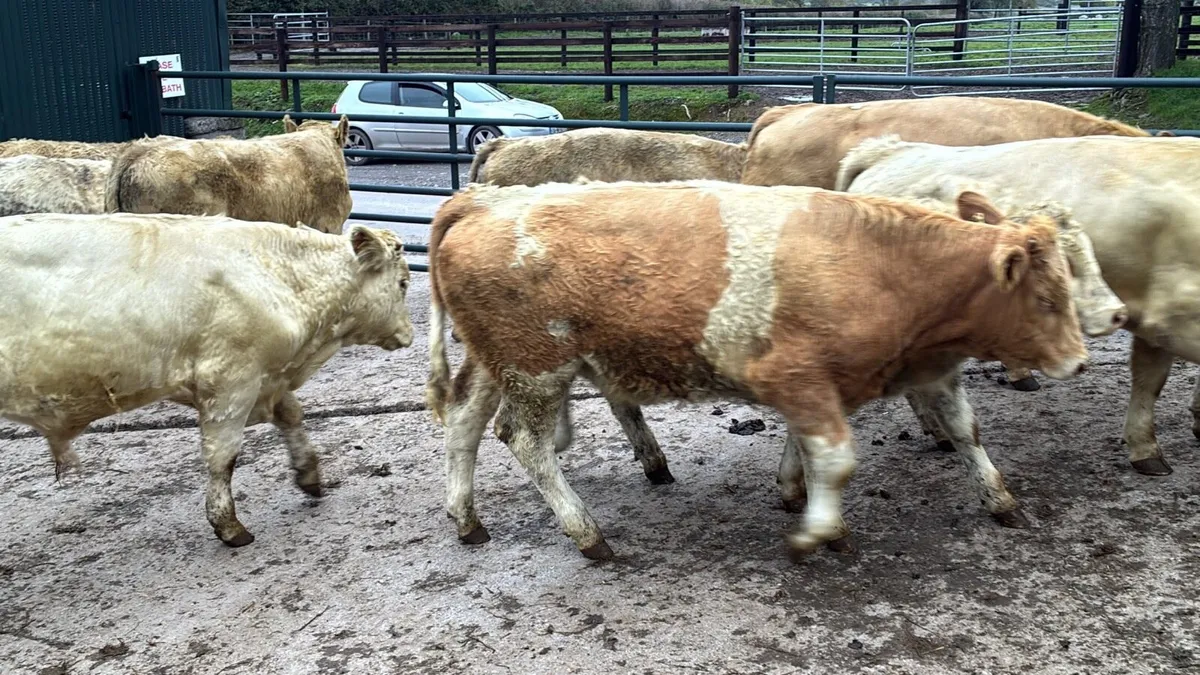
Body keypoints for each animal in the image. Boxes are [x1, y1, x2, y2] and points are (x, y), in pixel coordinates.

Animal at [0, 213, 413, 546]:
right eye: (404, 284)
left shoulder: (266, 378)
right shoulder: (231, 381)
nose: (408, 336)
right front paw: (229, 526)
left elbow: (292, 415)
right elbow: (223, 457)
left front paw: (309, 474)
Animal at [425, 180, 1088, 561]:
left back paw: (467, 519)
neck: (886, 266)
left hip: (497, 363)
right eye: (1046, 299)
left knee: (463, 423)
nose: (1079, 360)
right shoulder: (799, 379)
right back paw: (587, 534)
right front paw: (821, 533)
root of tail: (477, 199)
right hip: (537, 367)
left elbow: (963, 433)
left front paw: (1001, 501)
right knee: (524, 441)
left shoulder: (900, 375)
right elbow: (836, 459)